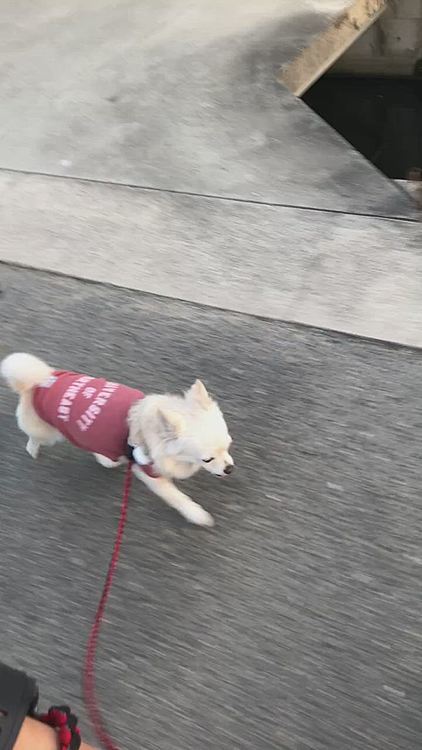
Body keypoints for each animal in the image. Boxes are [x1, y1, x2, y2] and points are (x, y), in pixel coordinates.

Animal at [0, 354, 234, 524]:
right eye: (207, 459)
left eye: (228, 446)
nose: (229, 469)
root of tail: (37, 382)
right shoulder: (149, 472)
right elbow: (175, 496)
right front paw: (196, 514)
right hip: (48, 432)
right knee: (34, 438)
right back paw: (33, 449)